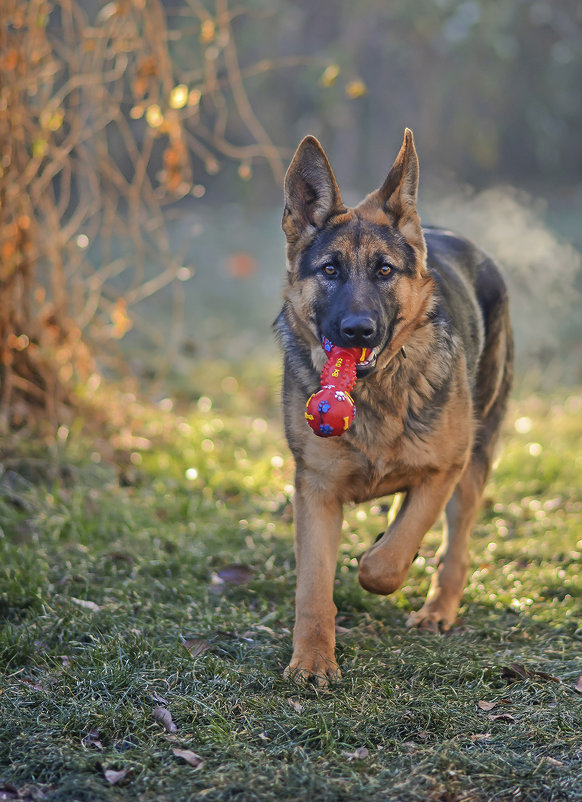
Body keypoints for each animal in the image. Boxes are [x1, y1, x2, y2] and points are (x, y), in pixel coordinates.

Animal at [276, 130, 512, 680]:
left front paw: (377, 560)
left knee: (455, 548)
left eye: (384, 270)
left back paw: (437, 610)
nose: (358, 331)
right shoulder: (315, 490)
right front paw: (313, 659)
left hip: (475, 463)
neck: (374, 394)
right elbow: (313, 586)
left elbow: (385, 563)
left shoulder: (445, 468)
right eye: (330, 270)